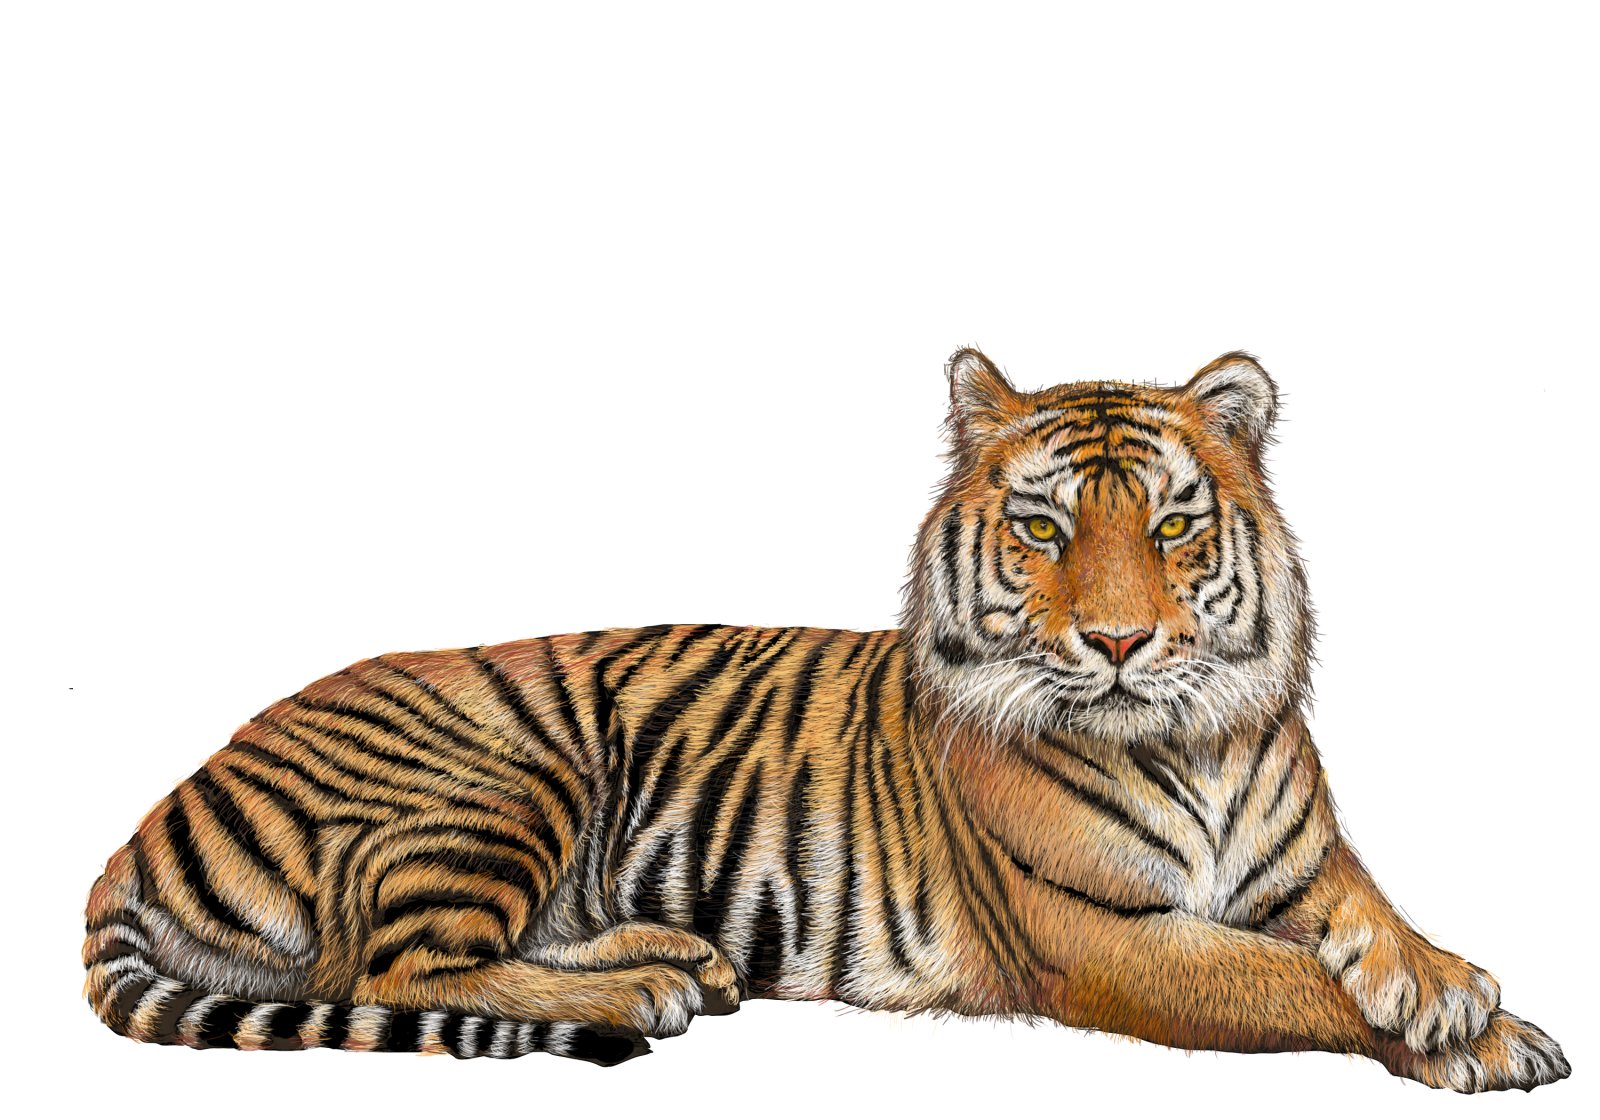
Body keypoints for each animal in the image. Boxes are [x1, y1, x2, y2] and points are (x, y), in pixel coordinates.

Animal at [80, 346, 1570, 1093]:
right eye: (1043, 531)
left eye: (1170, 527)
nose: (1119, 642)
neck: (1193, 737)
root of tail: (160, 807)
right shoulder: (1105, 938)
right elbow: (1288, 981)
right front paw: (1477, 1036)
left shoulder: (1307, 862)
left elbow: (1367, 914)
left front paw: (1454, 992)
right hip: (500, 773)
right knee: (395, 969)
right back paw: (640, 990)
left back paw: (679, 957)